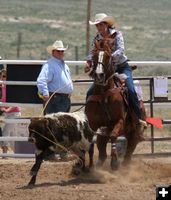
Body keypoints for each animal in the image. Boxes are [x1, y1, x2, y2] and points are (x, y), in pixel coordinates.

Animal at [84, 39, 146, 170]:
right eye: (94, 56)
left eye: (108, 56)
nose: (99, 75)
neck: (104, 95)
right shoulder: (93, 123)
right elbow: (91, 141)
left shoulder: (119, 121)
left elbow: (113, 136)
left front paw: (114, 162)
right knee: (102, 149)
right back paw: (98, 164)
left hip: (134, 132)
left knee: (129, 150)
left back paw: (124, 166)